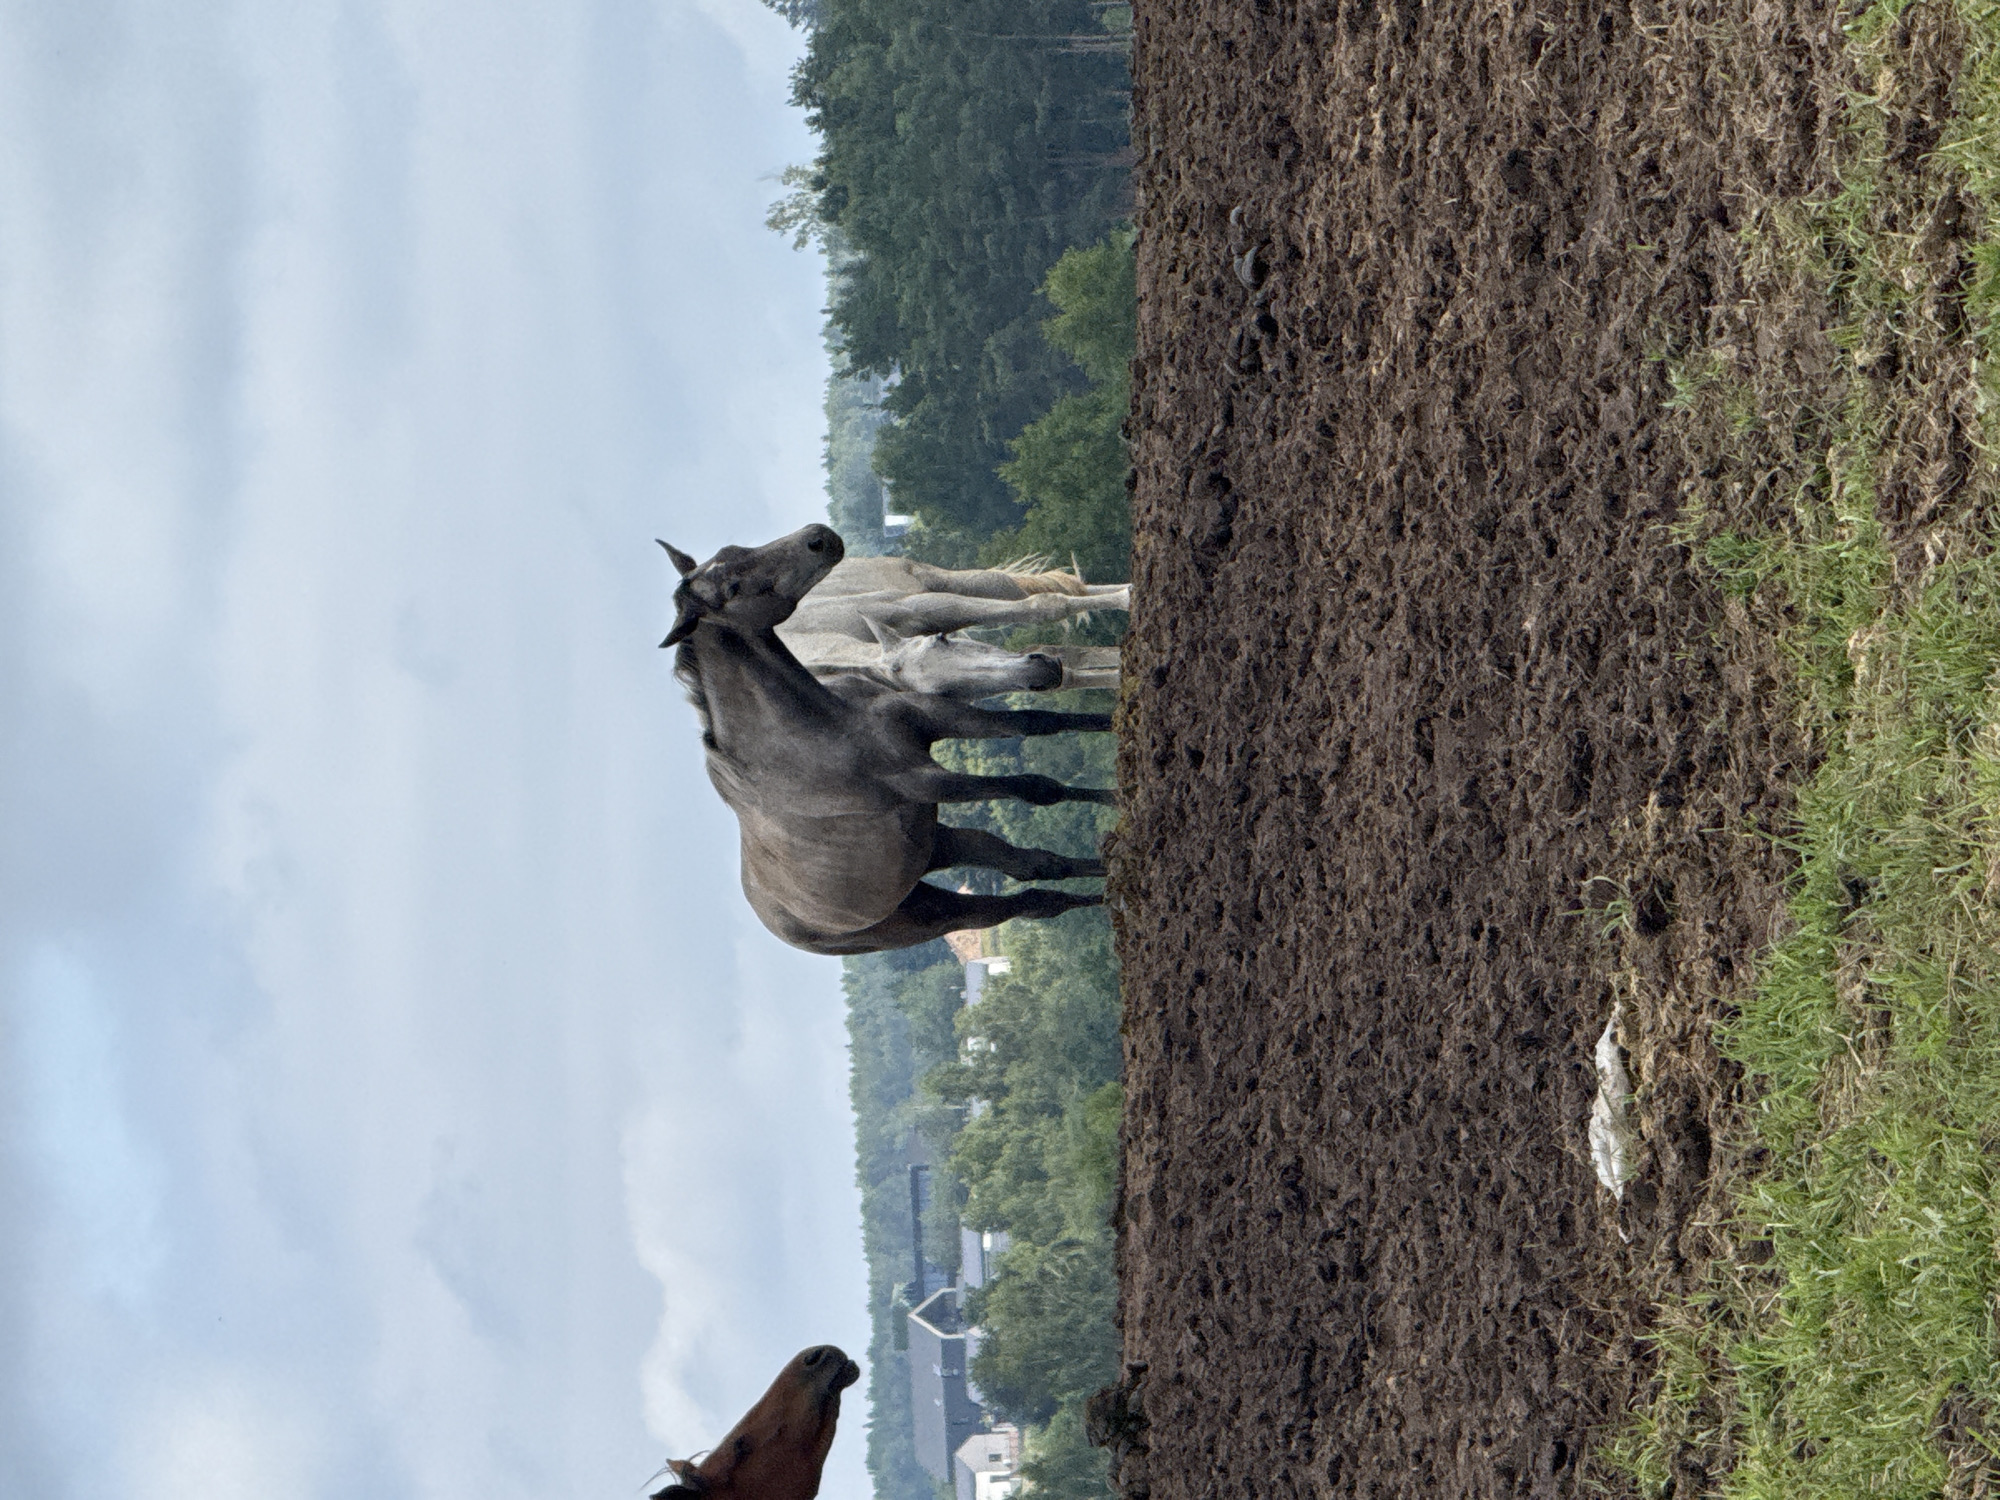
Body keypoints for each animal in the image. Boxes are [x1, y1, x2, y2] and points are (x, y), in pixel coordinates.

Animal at [660, 524, 1116, 955]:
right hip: (935, 907)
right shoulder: (929, 778)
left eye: (735, 553)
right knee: (1031, 892)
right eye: (731, 589)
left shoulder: (938, 703)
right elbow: (1034, 785)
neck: (827, 724)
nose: (816, 538)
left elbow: (1041, 711)